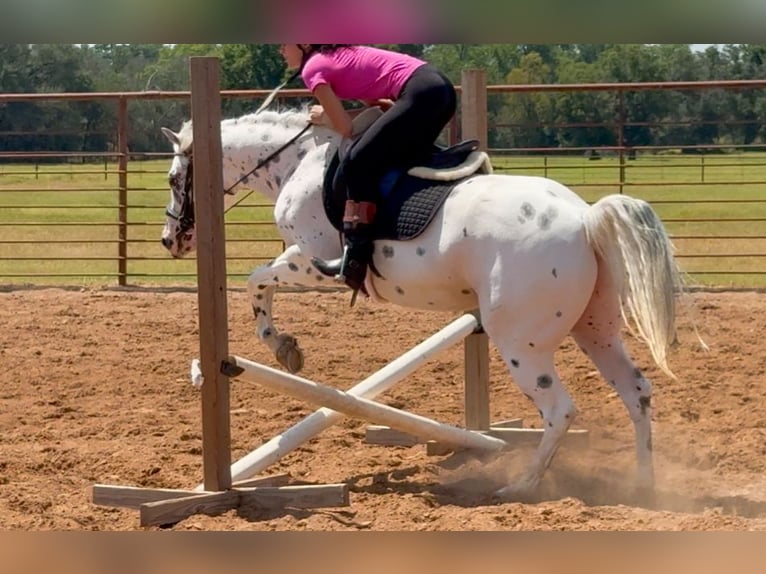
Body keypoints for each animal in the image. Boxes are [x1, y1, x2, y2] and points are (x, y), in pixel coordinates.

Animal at [159, 106, 684, 500]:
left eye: (171, 178)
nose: (169, 241)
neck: (299, 162)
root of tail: (586, 218)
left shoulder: (311, 260)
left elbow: (256, 281)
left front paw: (282, 345)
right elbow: (261, 283)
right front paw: (286, 346)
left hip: (521, 342)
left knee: (559, 410)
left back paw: (521, 486)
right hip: (595, 329)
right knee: (636, 391)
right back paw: (644, 483)